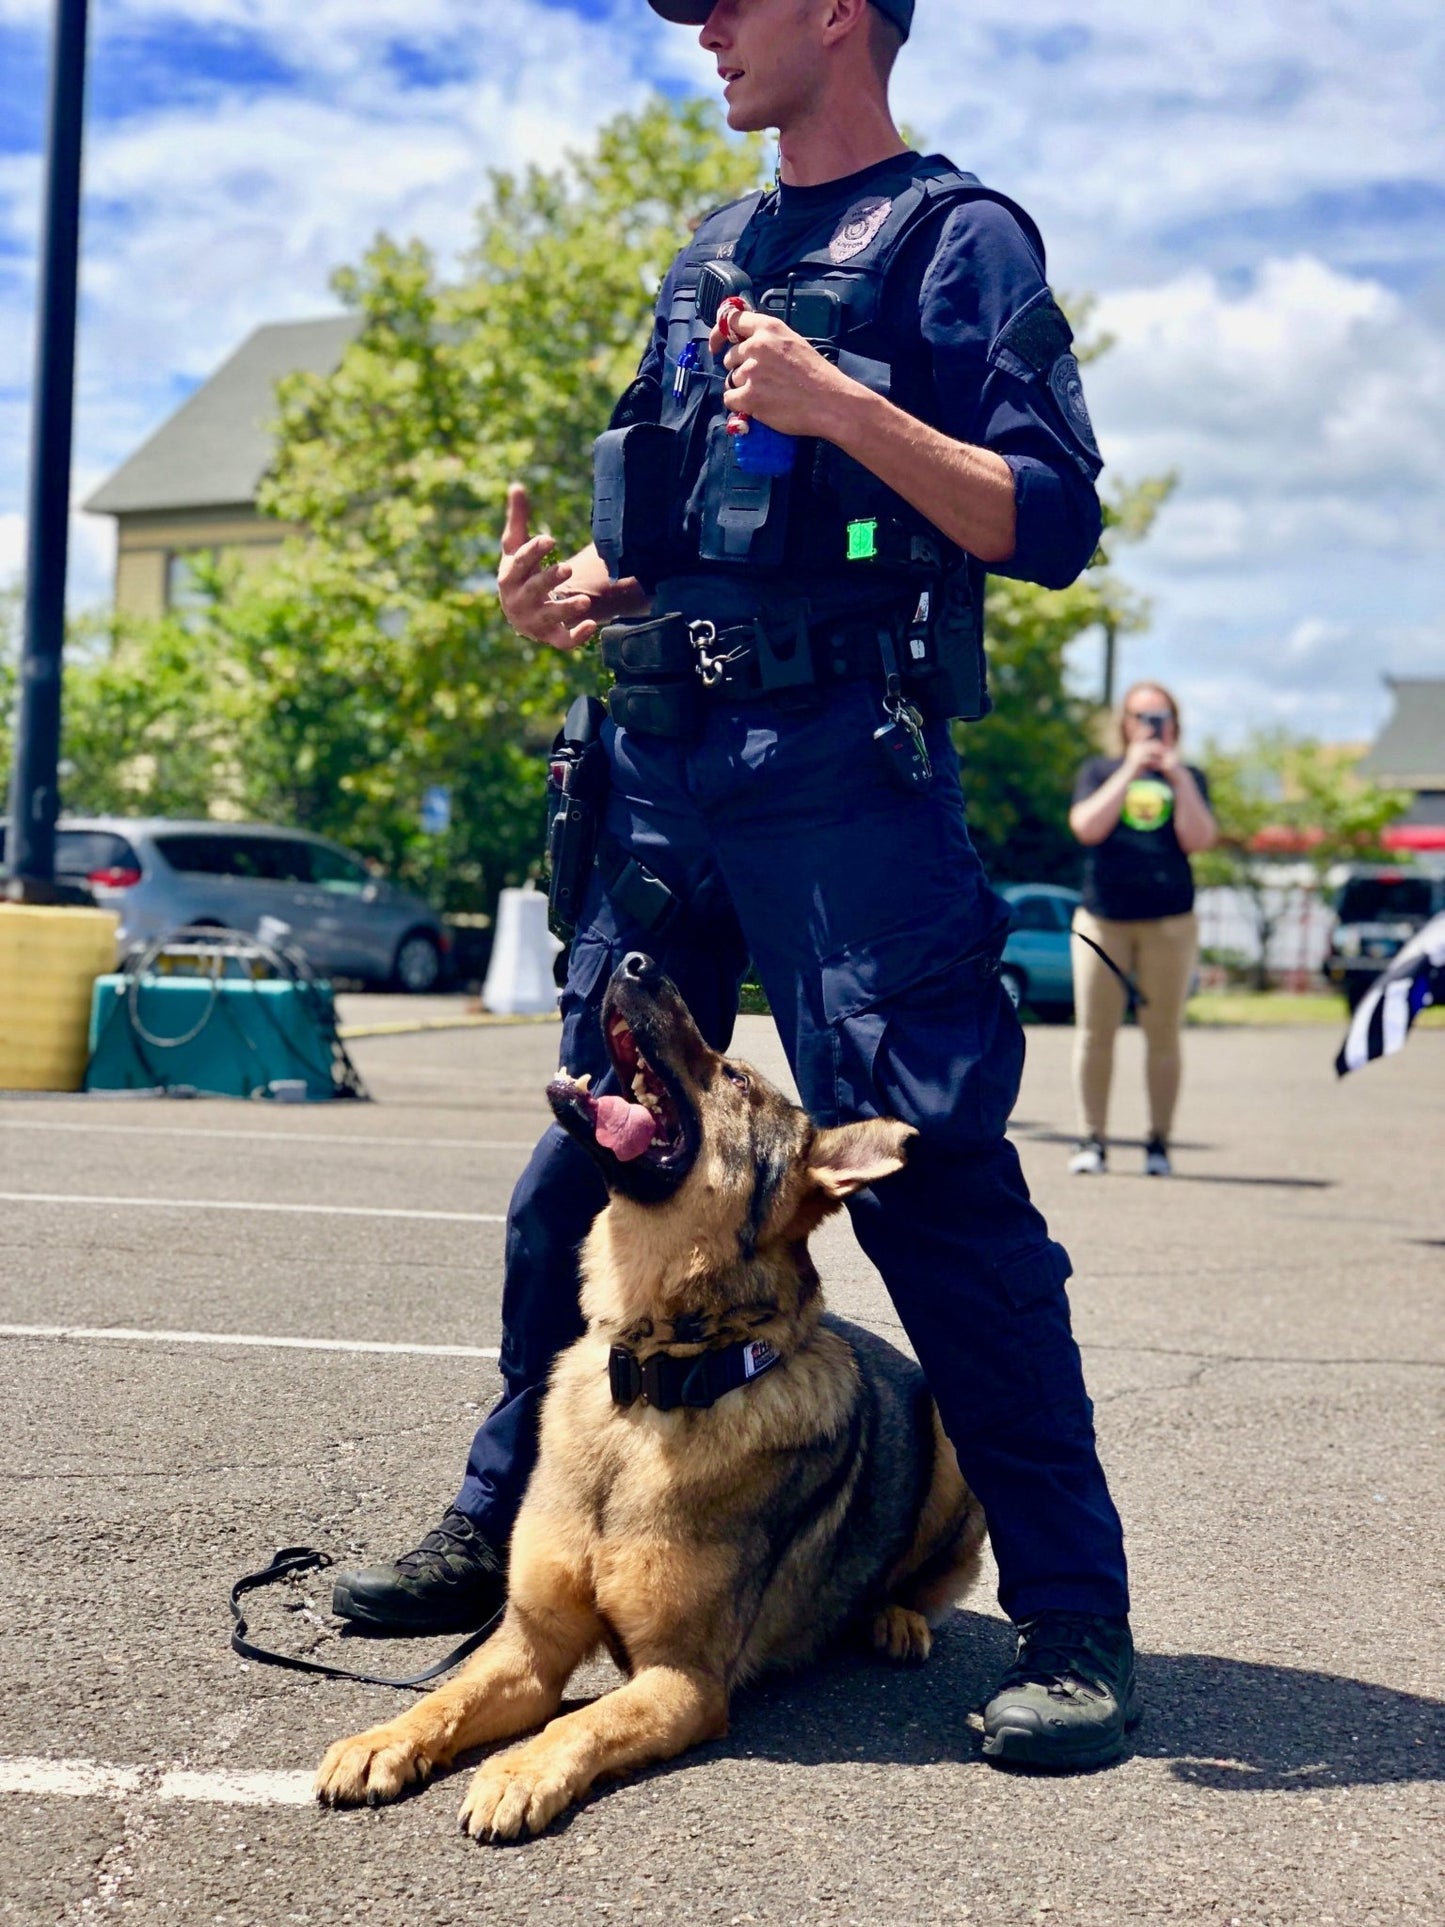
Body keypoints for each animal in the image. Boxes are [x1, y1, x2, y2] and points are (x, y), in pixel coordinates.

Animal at [317, 955, 994, 1842]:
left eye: (735, 1077)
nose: (637, 961)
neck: (649, 1382)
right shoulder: (528, 1648)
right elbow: (448, 1693)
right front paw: (383, 1739)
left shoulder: (683, 1679)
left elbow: (578, 1719)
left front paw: (519, 1771)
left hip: (953, 1442)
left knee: (925, 1577)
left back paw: (894, 1615)